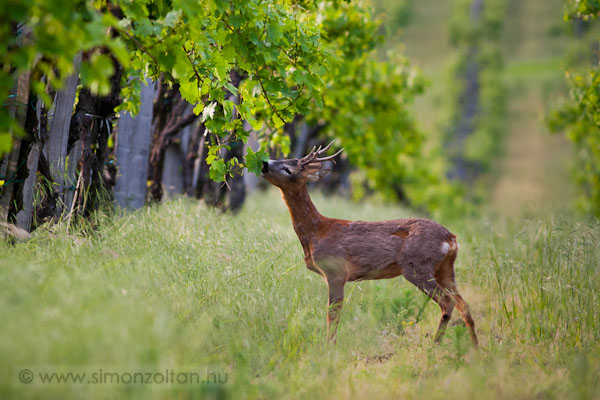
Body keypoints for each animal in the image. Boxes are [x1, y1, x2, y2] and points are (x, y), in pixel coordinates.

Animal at [262, 142, 478, 346]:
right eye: (282, 159)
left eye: (289, 169)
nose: (264, 163)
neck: (316, 232)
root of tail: (451, 239)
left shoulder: (335, 272)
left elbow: (333, 315)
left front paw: (328, 347)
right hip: (445, 269)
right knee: (464, 305)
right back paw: (475, 349)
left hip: (417, 266)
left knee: (447, 302)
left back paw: (436, 345)